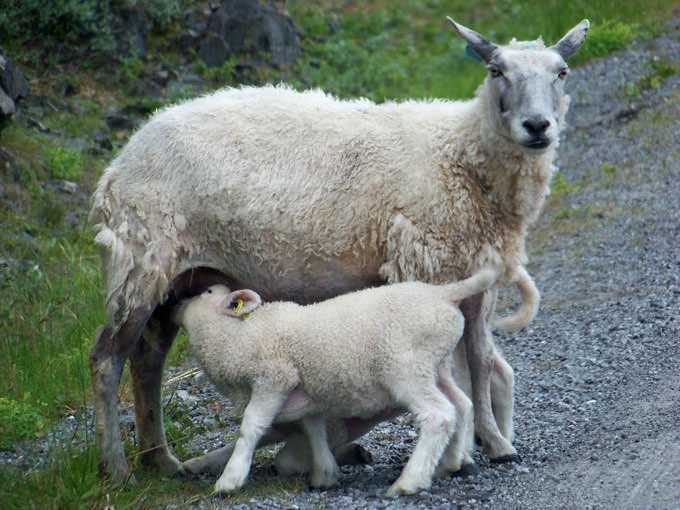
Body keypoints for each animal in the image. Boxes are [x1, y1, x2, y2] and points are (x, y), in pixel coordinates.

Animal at [173, 266, 496, 494]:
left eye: (207, 292)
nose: (176, 304)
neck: (235, 339)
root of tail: (443, 294)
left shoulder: (275, 376)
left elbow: (251, 425)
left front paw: (230, 479)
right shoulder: (307, 392)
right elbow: (314, 430)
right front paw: (325, 475)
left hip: (405, 366)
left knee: (439, 414)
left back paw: (410, 481)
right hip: (437, 364)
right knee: (462, 405)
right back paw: (451, 462)